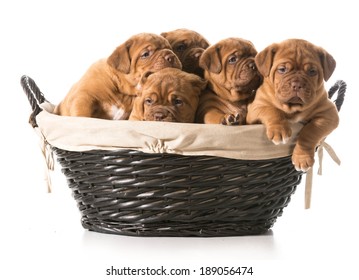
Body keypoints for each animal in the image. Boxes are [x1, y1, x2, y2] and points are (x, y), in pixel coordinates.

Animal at [53, 32, 183, 119]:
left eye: (170, 49)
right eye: (146, 54)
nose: (171, 56)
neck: (122, 91)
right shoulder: (83, 96)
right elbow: (82, 114)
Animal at [248, 38, 340, 172]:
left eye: (312, 72)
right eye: (282, 69)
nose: (297, 84)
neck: (292, 107)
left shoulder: (329, 113)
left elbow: (310, 131)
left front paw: (302, 157)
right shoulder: (256, 107)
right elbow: (271, 110)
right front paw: (279, 129)